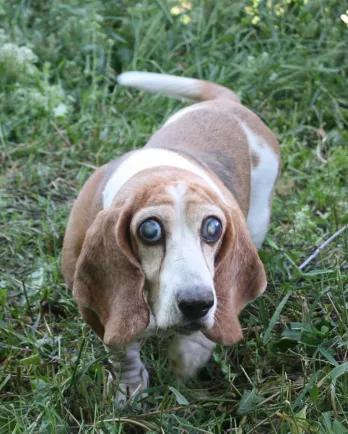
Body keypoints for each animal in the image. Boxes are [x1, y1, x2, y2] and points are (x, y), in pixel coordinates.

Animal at [61, 69, 280, 406]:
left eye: (213, 228)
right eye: (149, 231)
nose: (197, 304)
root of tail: (226, 104)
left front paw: (187, 357)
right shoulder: (96, 311)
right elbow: (122, 351)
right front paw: (129, 388)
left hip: (258, 219)